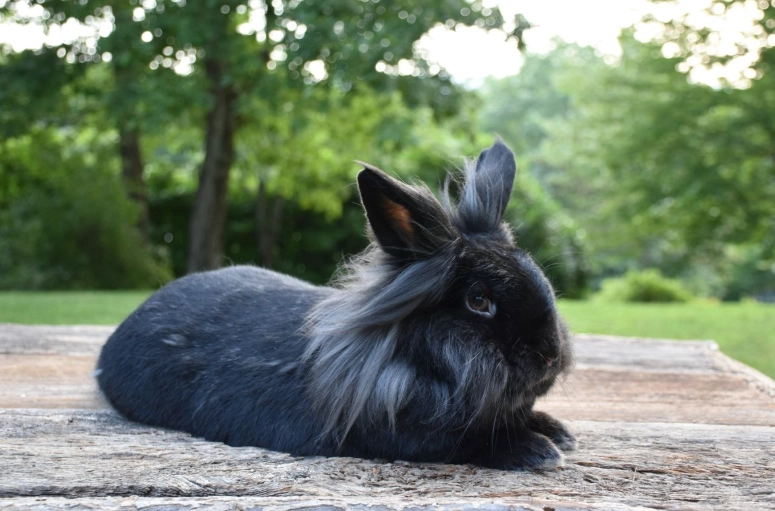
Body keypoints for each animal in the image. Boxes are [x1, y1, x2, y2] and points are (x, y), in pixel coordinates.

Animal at [96, 140, 576, 471]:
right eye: (479, 301)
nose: (550, 355)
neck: (408, 362)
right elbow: (470, 443)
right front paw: (538, 450)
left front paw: (558, 431)